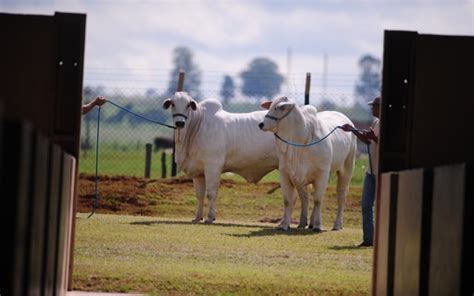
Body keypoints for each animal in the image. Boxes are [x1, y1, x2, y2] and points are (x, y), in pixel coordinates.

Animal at [163, 91, 278, 223]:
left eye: (188, 105)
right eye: (173, 104)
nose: (180, 123)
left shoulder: (213, 166)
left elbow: (211, 193)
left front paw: (210, 217)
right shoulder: (198, 172)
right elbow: (199, 195)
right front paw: (197, 217)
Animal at [260, 97, 356, 231]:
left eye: (277, 108)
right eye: (270, 107)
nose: (261, 124)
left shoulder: (322, 174)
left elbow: (318, 200)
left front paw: (318, 225)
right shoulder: (286, 174)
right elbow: (288, 201)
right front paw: (284, 224)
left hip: (347, 167)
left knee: (341, 195)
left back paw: (337, 225)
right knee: (305, 197)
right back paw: (304, 222)